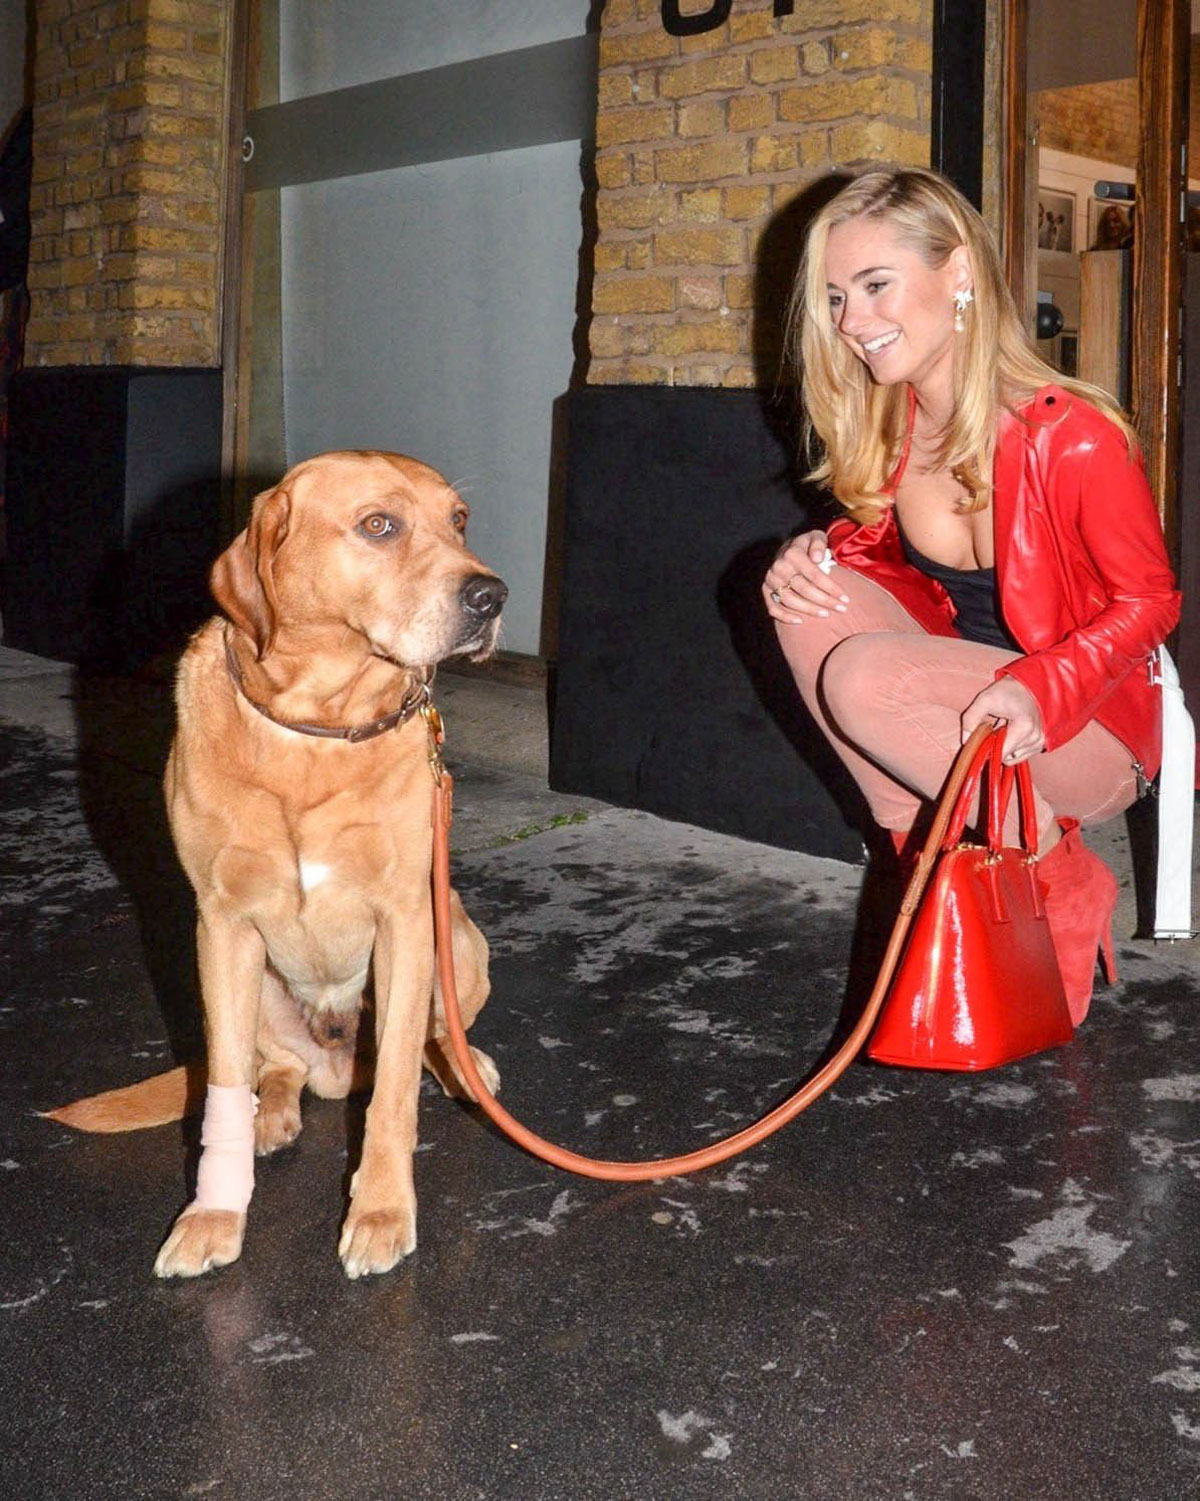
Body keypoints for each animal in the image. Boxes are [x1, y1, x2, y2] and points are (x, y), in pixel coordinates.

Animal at [50, 447, 507, 1278]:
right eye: (379, 524)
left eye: (459, 520)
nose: (492, 595)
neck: (319, 726)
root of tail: (335, 1066)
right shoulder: (222, 923)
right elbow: (227, 1081)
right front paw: (212, 1214)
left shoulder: (405, 917)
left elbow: (396, 1088)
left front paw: (381, 1210)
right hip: (244, 978)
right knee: (276, 1068)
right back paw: (275, 1115)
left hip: (456, 933)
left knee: (426, 1039)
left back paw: (464, 1067)